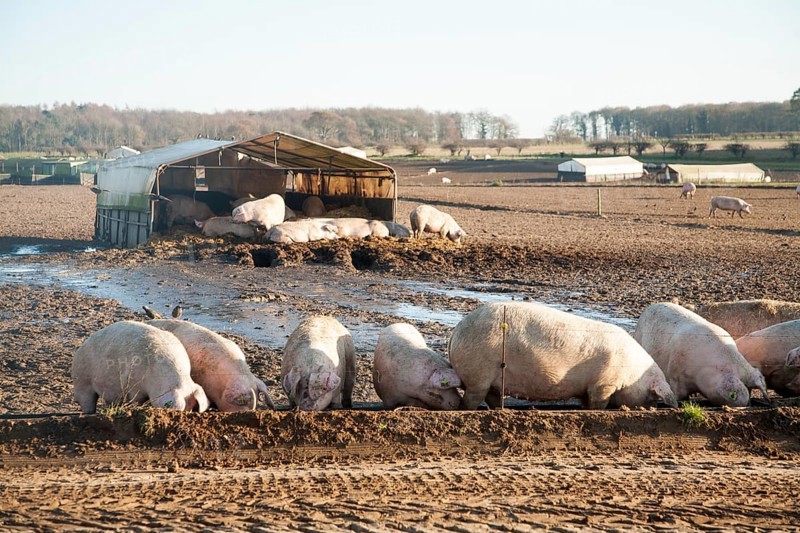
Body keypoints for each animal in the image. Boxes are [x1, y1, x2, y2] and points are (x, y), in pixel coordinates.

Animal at [71, 321, 209, 414]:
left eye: (190, 410)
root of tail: (81, 347)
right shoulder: (133, 385)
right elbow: (137, 399)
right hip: (82, 381)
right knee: (87, 401)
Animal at [448, 302, 677, 410]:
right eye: (652, 395)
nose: (649, 408)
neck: (632, 373)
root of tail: (455, 332)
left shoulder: (589, 387)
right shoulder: (603, 383)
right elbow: (599, 403)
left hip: (491, 379)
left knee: (493, 397)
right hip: (478, 374)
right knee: (471, 401)